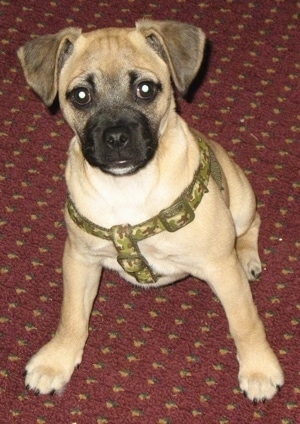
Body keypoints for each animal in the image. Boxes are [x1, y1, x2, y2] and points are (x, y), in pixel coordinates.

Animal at [18, 19, 284, 402]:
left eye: (145, 89)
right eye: (80, 96)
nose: (116, 138)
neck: (129, 187)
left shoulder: (221, 268)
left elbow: (245, 322)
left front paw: (259, 369)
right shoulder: (80, 259)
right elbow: (72, 317)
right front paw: (56, 361)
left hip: (242, 202)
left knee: (252, 225)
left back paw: (247, 256)